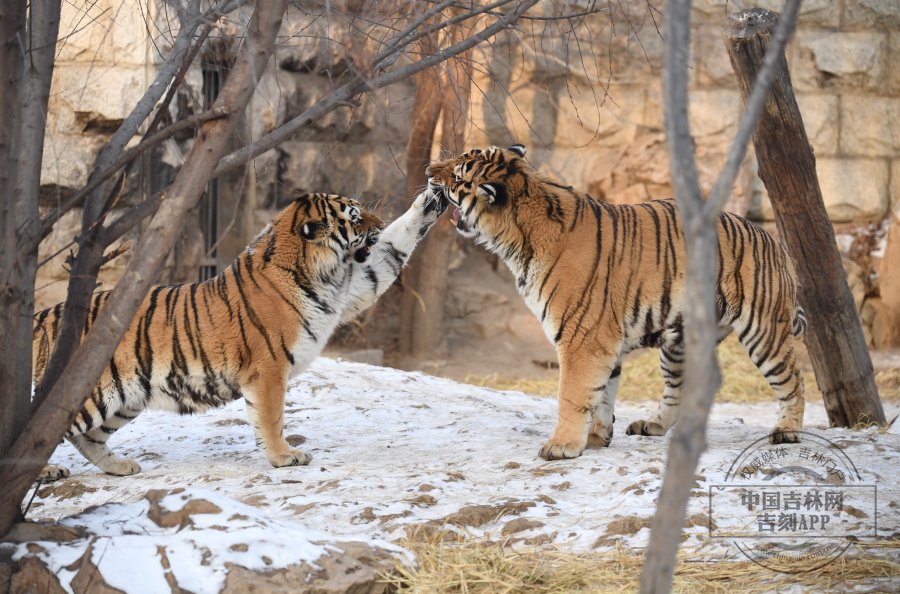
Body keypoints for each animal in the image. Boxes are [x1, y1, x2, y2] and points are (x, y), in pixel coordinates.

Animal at [33, 190, 448, 476]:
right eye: (356, 217)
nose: (377, 224)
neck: (323, 274)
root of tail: (41, 317)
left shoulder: (356, 284)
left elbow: (392, 250)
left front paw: (431, 201)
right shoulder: (269, 368)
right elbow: (272, 416)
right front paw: (284, 456)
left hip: (124, 398)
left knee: (83, 437)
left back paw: (120, 467)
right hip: (89, 395)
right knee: (43, 429)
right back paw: (48, 472)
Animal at [428, 143, 808, 458]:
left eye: (458, 174)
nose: (430, 170)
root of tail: (772, 240)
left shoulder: (582, 338)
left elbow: (572, 394)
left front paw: (561, 446)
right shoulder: (601, 340)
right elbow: (601, 393)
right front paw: (597, 436)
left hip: (764, 330)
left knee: (793, 379)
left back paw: (787, 431)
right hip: (679, 341)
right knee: (679, 388)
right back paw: (652, 424)